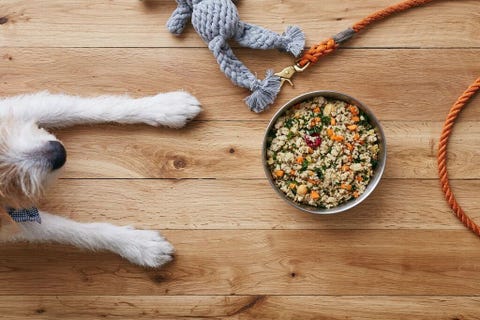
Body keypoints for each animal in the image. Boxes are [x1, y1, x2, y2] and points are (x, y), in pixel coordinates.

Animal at [0, 90, 201, 268]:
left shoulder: (12, 109)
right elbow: (63, 229)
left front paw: (165, 106)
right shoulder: (9, 220)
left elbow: (73, 108)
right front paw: (138, 244)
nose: (59, 153)